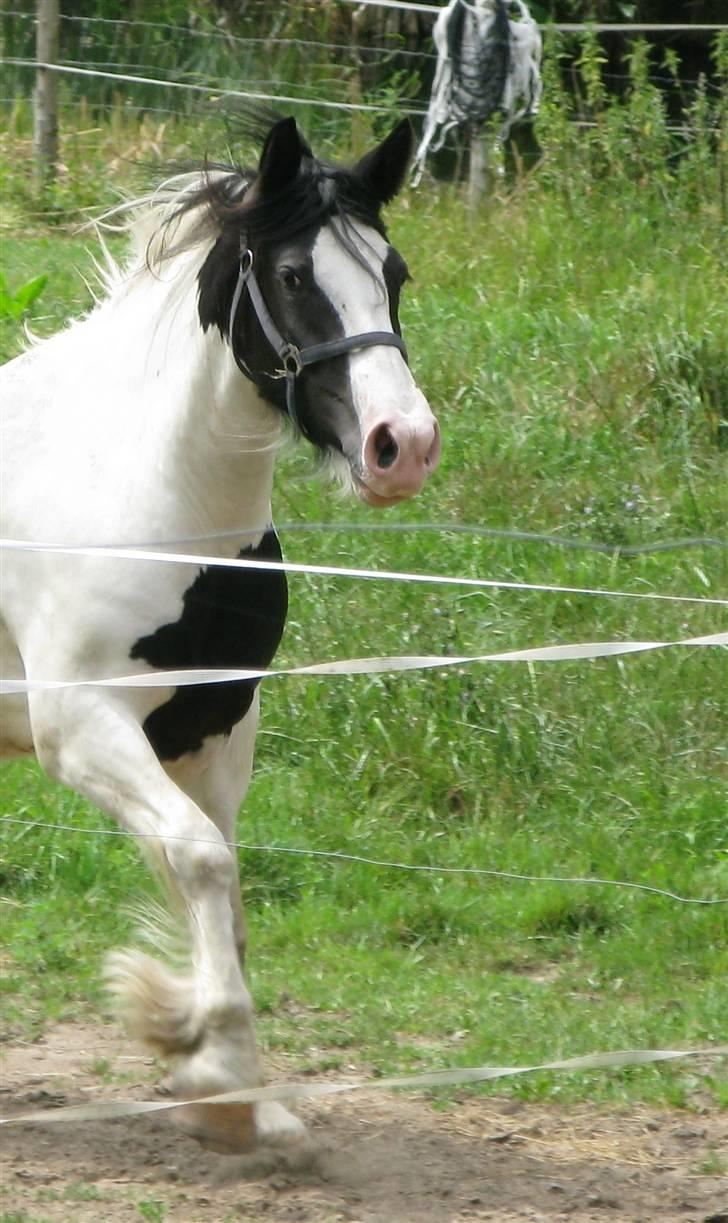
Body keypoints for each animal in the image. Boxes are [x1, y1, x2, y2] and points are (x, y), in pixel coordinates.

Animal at [0, 116, 440, 1154]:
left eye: (394, 272)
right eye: (291, 275)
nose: (401, 445)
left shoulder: (215, 725)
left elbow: (222, 890)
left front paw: (234, 1085)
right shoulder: (82, 726)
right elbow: (200, 858)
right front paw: (220, 1068)